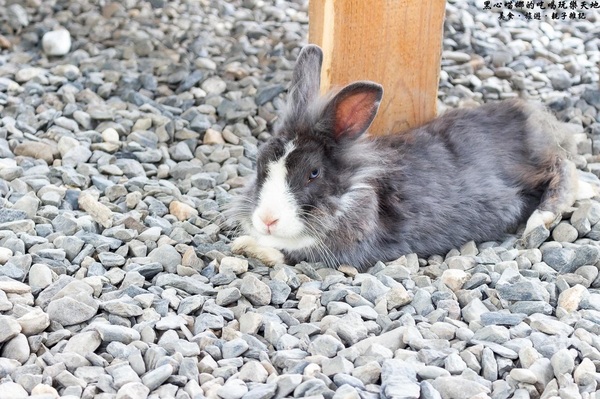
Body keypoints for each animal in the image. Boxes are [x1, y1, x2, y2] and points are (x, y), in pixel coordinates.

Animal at [226, 45, 580, 274]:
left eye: (313, 173)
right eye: (260, 164)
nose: (267, 220)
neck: (349, 193)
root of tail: (533, 116)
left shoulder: (345, 250)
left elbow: (288, 254)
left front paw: (246, 246)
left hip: (536, 167)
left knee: (563, 169)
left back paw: (541, 218)